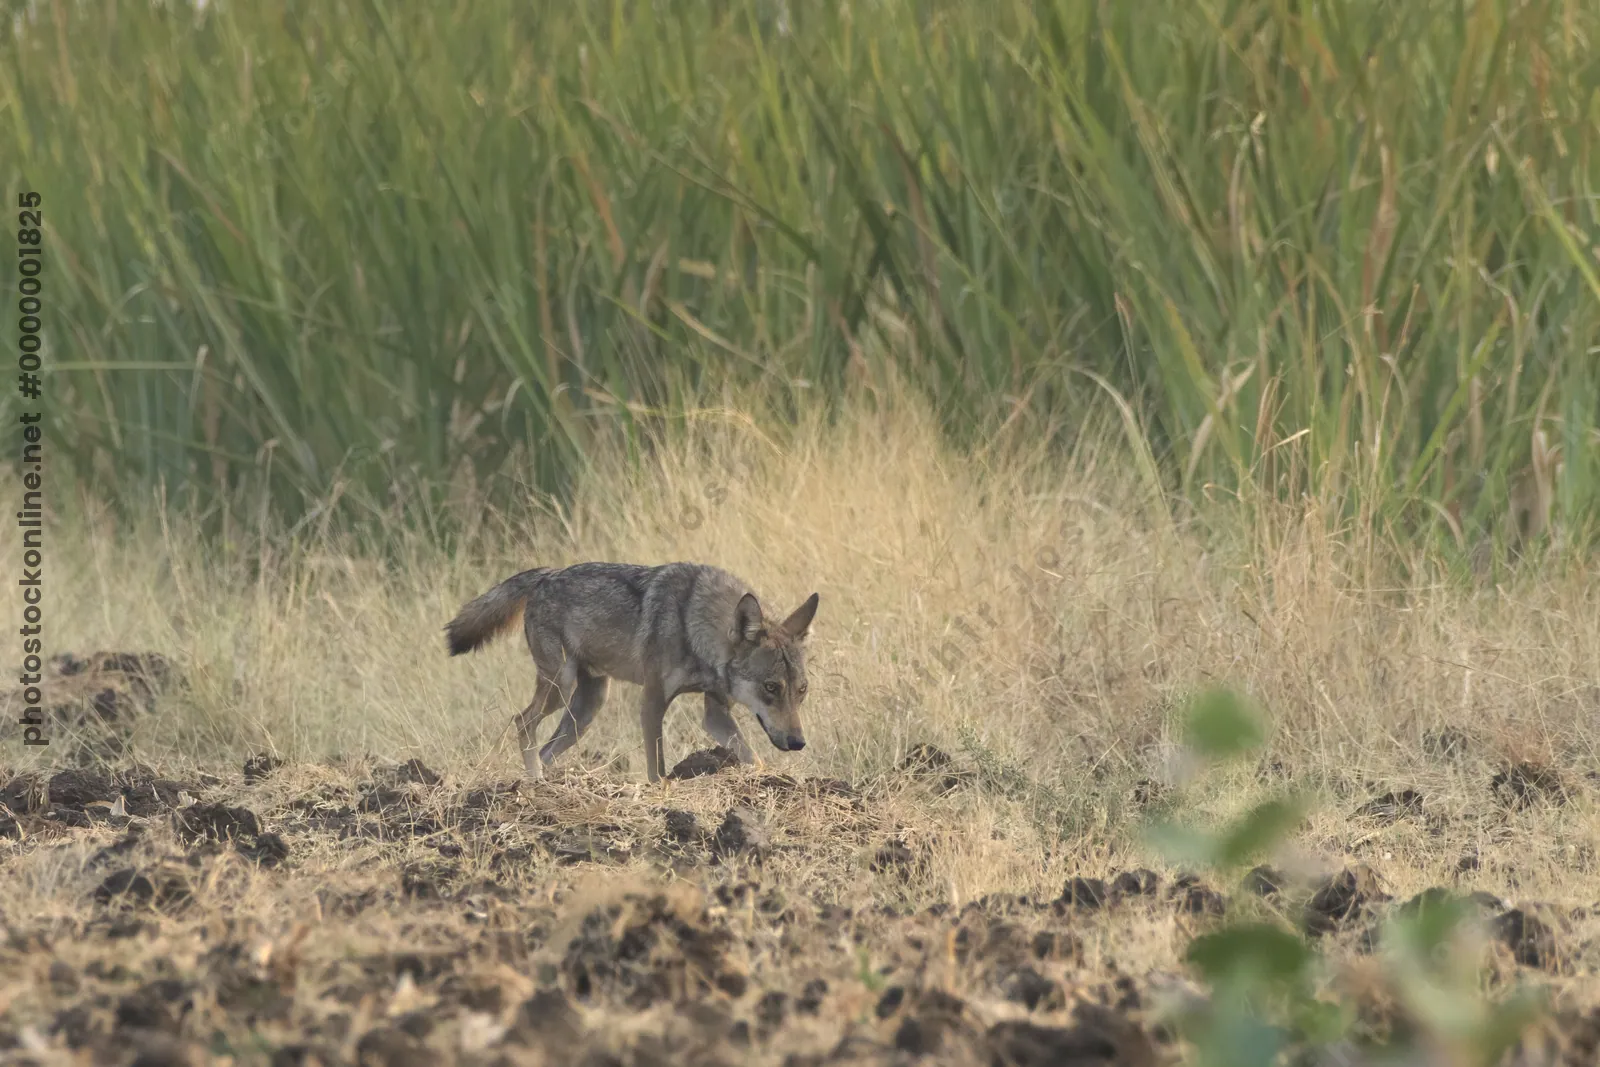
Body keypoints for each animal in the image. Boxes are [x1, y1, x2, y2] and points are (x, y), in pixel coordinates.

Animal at [444, 562, 820, 783]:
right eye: (771, 687)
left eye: (801, 690)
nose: (798, 743)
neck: (695, 623)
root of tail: (544, 575)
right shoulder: (651, 701)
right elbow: (657, 769)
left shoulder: (715, 712)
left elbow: (753, 759)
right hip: (560, 689)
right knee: (522, 723)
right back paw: (535, 783)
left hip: (587, 709)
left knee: (545, 749)